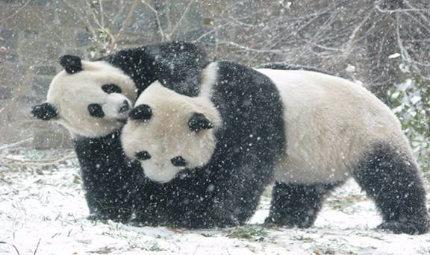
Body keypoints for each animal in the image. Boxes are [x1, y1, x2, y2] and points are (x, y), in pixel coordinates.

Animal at [30, 41, 208, 221]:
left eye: (108, 88)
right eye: (95, 110)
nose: (123, 106)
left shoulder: (131, 62)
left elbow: (175, 56)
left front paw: (180, 88)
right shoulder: (93, 144)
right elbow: (106, 179)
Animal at [121, 60, 430, 234]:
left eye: (178, 159)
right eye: (143, 154)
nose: (158, 180)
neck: (203, 92)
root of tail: (387, 109)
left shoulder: (250, 117)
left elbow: (240, 176)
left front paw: (198, 214)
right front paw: (154, 205)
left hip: (364, 136)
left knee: (391, 177)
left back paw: (403, 223)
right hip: (319, 157)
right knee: (303, 189)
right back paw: (285, 219)